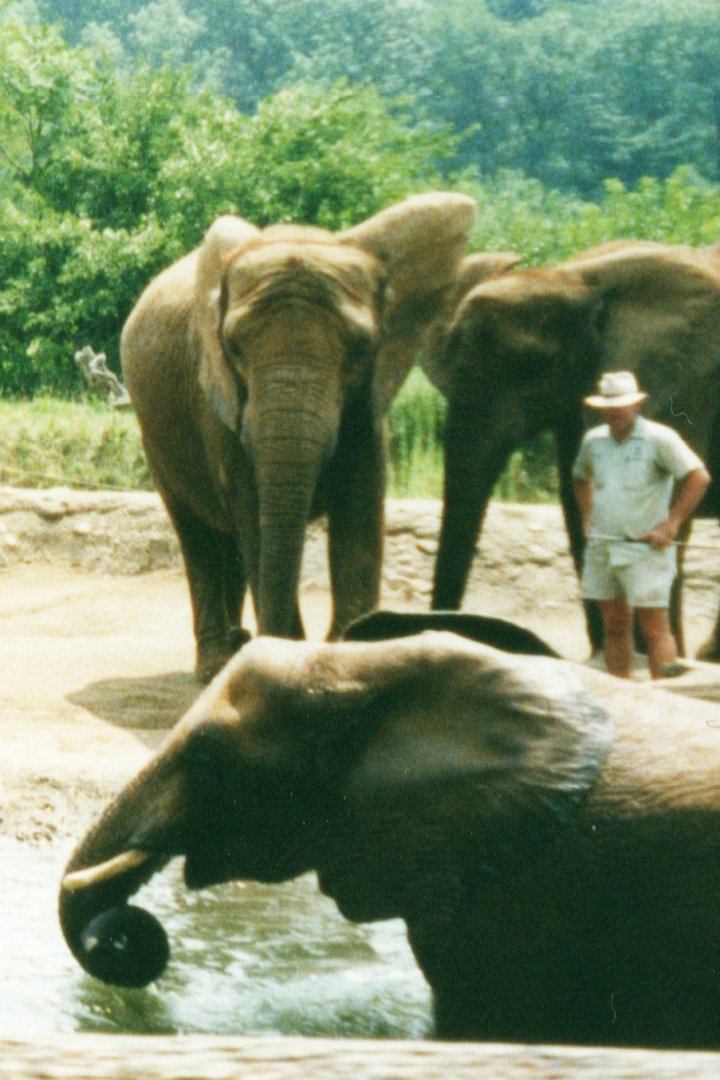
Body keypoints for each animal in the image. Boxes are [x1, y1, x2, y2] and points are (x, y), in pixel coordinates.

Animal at [120, 192, 476, 681]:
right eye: (233, 347)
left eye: (361, 348)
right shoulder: (218, 402)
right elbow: (253, 513)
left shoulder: (368, 402)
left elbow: (360, 512)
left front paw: (355, 656)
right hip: (156, 438)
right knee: (200, 537)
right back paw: (216, 667)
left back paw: (235, 646)